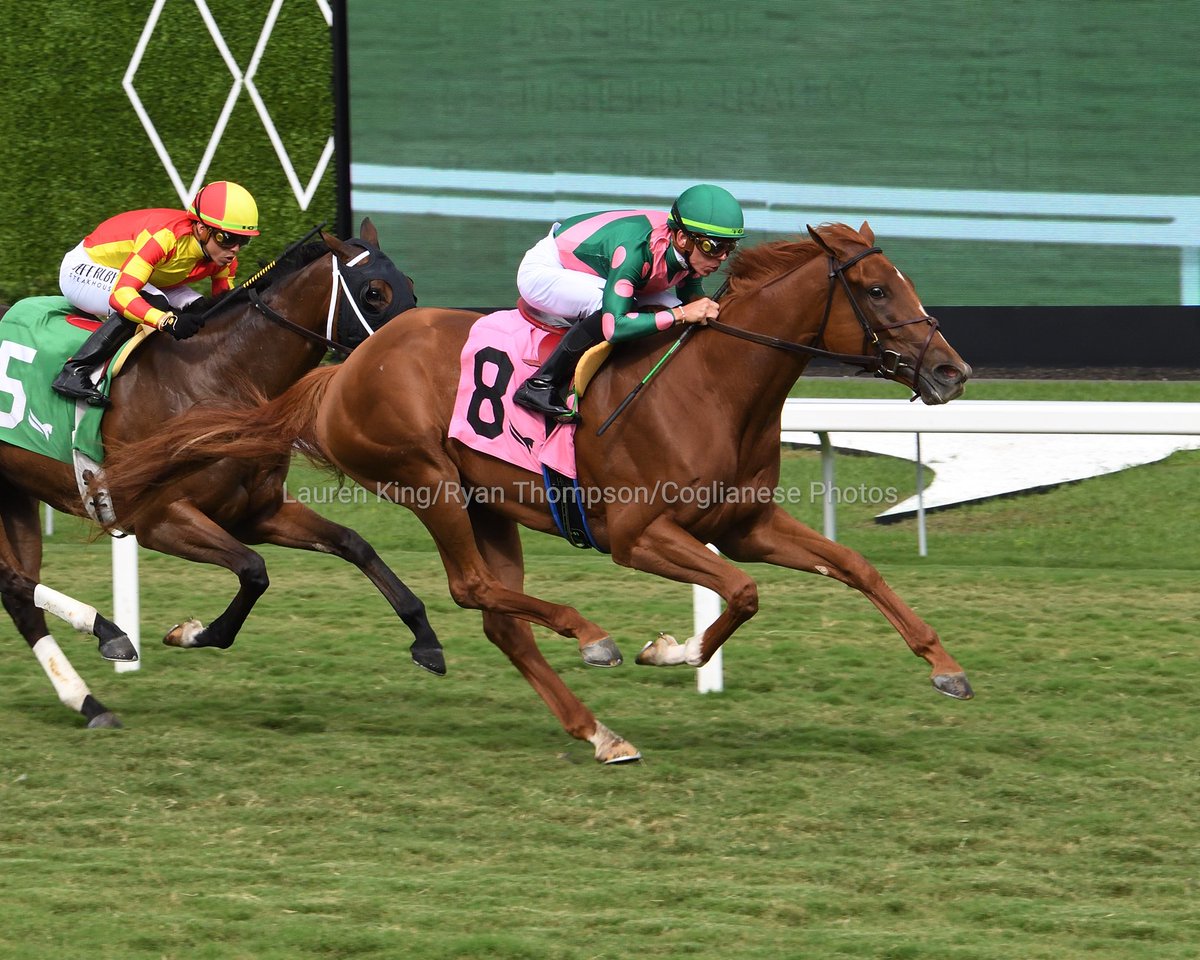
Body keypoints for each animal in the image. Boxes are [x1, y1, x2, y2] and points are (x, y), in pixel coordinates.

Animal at [0, 217, 441, 729]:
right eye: (373, 292)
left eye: (410, 284)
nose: (420, 358)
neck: (217, 378)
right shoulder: (158, 519)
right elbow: (254, 569)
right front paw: (191, 632)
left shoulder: (258, 511)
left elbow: (354, 543)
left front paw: (425, 638)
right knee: (11, 582)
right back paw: (108, 631)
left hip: (16, 495)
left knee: (19, 598)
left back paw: (89, 701)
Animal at [105, 223, 974, 758]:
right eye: (877, 291)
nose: (952, 370)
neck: (716, 385)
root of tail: (343, 369)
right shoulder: (638, 537)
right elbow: (742, 592)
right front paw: (670, 649)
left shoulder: (746, 522)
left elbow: (853, 567)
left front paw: (944, 666)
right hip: (428, 481)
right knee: (471, 589)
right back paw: (587, 636)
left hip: (487, 503)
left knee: (499, 618)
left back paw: (598, 732)